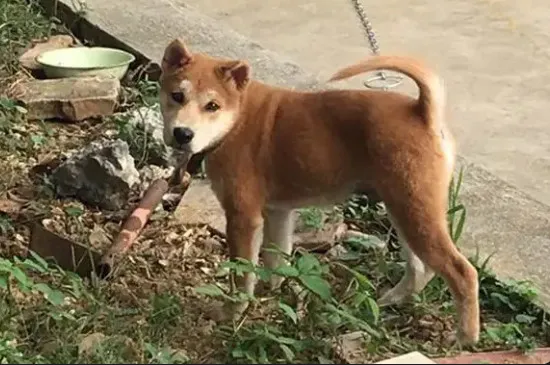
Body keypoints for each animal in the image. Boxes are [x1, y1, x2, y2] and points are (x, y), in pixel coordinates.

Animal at [157, 39, 480, 344]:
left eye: (212, 106)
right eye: (177, 96)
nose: (182, 134)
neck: (236, 119)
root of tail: (422, 111)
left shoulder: (243, 217)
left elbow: (242, 274)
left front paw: (233, 312)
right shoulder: (278, 212)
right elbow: (276, 259)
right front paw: (274, 292)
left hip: (414, 211)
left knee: (462, 272)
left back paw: (464, 337)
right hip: (404, 210)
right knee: (421, 268)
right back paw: (390, 301)